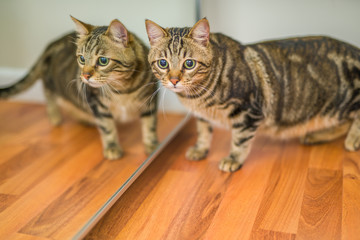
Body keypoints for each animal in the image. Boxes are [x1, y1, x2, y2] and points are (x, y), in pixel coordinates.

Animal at [0, 16, 158, 159]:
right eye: (82, 59)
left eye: (103, 61)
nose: (85, 76)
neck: (123, 89)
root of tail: (51, 44)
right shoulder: (97, 104)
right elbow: (107, 127)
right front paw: (112, 147)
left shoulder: (150, 101)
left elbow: (150, 125)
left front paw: (152, 146)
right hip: (51, 84)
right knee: (49, 95)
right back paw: (55, 116)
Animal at [145, 18, 360, 172]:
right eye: (163, 63)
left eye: (189, 63)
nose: (174, 80)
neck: (196, 98)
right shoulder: (201, 116)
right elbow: (203, 131)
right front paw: (200, 148)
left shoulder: (247, 111)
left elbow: (240, 139)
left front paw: (233, 159)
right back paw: (316, 135)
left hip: (347, 98)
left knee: (355, 117)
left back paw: (352, 139)